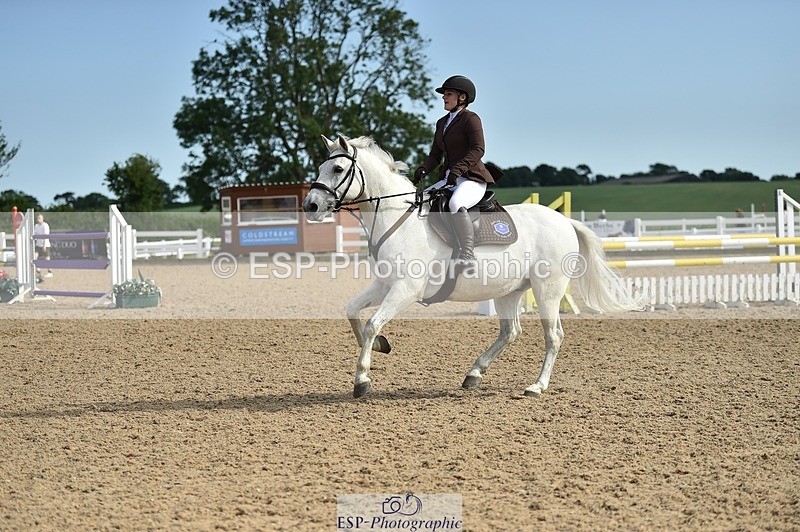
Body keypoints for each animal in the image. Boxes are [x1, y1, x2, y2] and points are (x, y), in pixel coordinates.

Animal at [302, 135, 642, 398]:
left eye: (338, 168)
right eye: (320, 168)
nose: (310, 206)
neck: (397, 219)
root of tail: (564, 221)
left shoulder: (406, 289)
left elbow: (373, 323)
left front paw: (362, 379)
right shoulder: (384, 285)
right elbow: (352, 311)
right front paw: (380, 348)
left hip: (548, 290)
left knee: (553, 336)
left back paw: (536, 386)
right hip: (509, 292)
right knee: (510, 331)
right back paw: (474, 373)